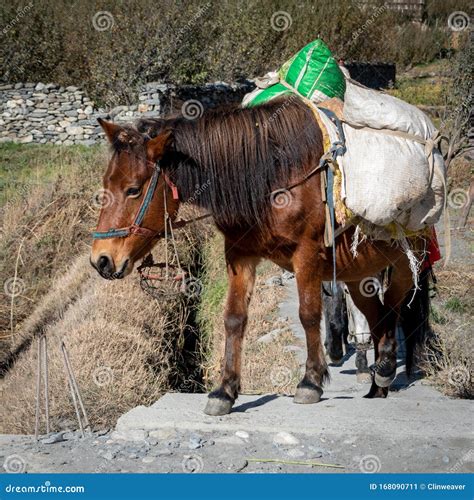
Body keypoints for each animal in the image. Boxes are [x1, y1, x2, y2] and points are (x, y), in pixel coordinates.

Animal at [90, 96, 424, 414]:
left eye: (133, 189)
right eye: (106, 184)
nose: (100, 260)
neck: (270, 175)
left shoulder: (307, 255)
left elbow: (308, 314)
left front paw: (310, 382)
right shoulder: (240, 256)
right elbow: (234, 318)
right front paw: (225, 391)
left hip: (404, 266)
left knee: (394, 308)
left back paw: (385, 368)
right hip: (357, 274)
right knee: (377, 314)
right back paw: (379, 380)